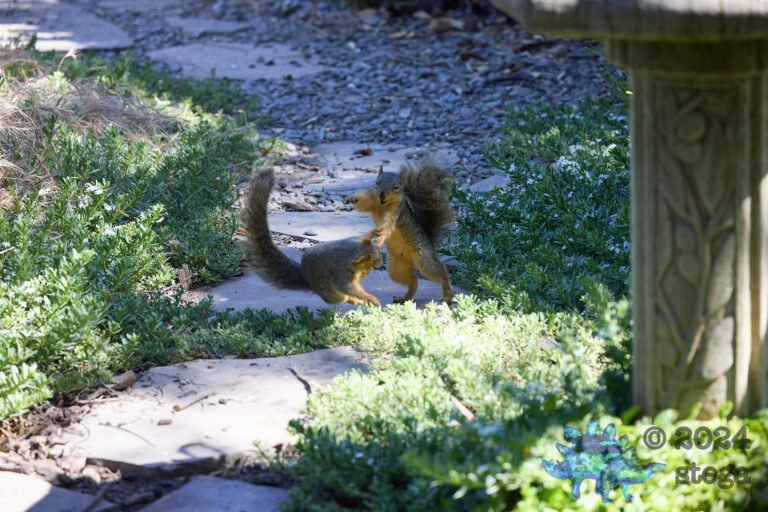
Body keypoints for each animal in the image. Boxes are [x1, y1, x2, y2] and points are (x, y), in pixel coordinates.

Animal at [240, 169, 383, 306]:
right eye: (375, 258)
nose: (380, 264)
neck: (353, 251)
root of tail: (307, 280)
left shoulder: (354, 240)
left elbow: (361, 236)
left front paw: (376, 231)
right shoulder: (341, 273)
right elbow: (347, 287)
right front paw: (369, 297)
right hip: (331, 293)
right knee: (342, 297)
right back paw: (356, 300)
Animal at [346, 156, 456, 304]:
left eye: (397, 187)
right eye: (377, 183)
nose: (381, 196)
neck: (383, 206)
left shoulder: (396, 214)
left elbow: (388, 227)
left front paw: (380, 239)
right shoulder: (372, 203)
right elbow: (364, 205)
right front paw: (353, 198)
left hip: (424, 259)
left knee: (440, 274)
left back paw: (448, 293)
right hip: (397, 268)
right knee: (413, 282)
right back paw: (404, 298)